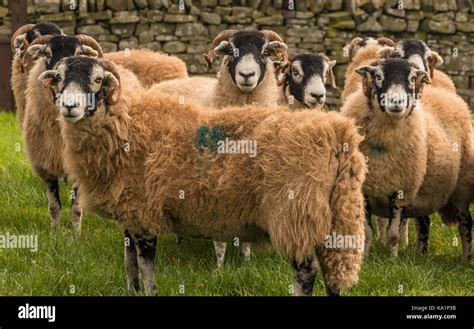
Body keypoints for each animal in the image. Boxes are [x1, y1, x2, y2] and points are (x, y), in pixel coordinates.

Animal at [40, 56, 366, 294]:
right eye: (59, 78)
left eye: (97, 80)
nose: (69, 107)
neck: (126, 126)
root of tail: (337, 131)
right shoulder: (130, 211)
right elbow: (129, 261)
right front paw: (132, 289)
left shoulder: (144, 213)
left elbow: (145, 266)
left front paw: (148, 290)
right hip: (337, 214)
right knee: (332, 273)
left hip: (296, 214)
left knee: (306, 273)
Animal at [342, 59, 472, 258]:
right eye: (378, 76)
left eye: (412, 78)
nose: (396, 102)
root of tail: (447, 95)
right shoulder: (364, 189)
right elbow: (367, 232)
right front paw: (364, 258)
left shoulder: (401, 190)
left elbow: (393, 234)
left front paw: (393, 259)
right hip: (425, 194)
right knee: (424, 223)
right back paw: (421, 255)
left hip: (461, 190)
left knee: (466, 225)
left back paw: (465, 258)